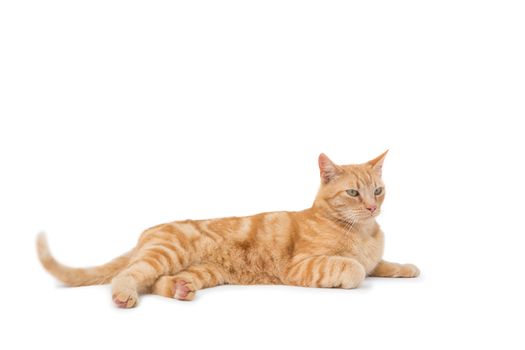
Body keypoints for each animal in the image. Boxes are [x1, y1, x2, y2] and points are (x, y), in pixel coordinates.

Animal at [36, 152, 420, 308]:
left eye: (378, 190)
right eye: (353, 193)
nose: (372, 207)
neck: (364, 231)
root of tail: (147, 232)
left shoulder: (375, 258)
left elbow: (381, 265)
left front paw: (408, 268)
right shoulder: (301, 266)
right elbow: (355, 269)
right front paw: (358, 270)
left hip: (202, 271)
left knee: (158, 282)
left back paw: (181, 289)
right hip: (165, 253)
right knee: (128, 275)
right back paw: (124, 296)